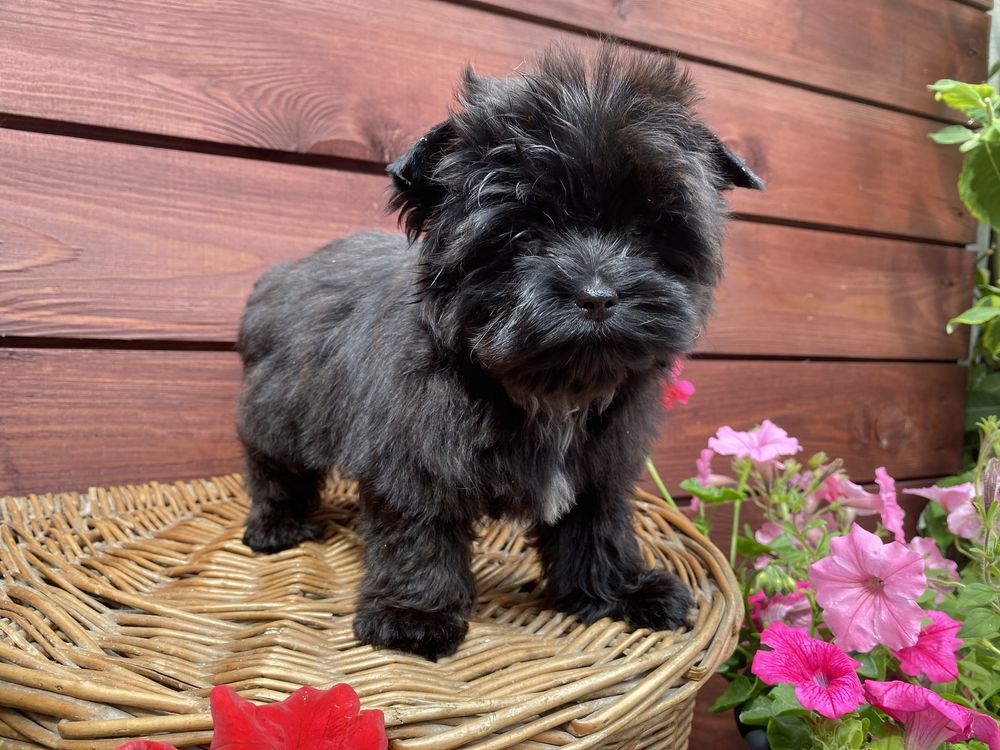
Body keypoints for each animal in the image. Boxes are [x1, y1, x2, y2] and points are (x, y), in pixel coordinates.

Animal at [238, 44, 760, 660]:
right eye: (523, 236)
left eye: (644, 229)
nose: (597, 294)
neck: (548, 389)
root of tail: (282, 272)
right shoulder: (416, 459)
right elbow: (418, 529)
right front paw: (414, 613)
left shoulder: (601, 466)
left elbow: (597, 525)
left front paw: (617, 591)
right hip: (281, 408)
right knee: (272, 464)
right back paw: (277, 526)